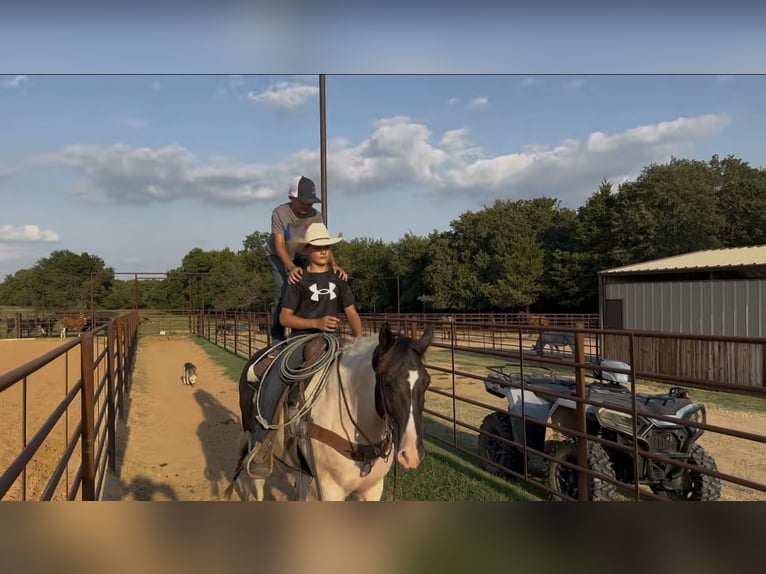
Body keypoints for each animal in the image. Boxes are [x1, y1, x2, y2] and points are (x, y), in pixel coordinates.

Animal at [230, 322, 434, 501]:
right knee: (257, 483)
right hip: (255, 443)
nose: (411, 454)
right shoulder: (330, 490)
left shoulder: (373, 489)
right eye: (388, 382)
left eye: (426, 382)